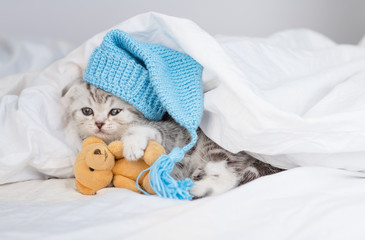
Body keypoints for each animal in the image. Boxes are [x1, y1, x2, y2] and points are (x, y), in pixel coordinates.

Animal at [61, 79, 282, 198]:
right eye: (87, 111)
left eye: (114, 111)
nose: (99, 123)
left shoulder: (172, 132)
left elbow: (146, 131)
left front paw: (132, 145)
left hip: (217, 148)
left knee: (228, 176)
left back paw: (197, 188)